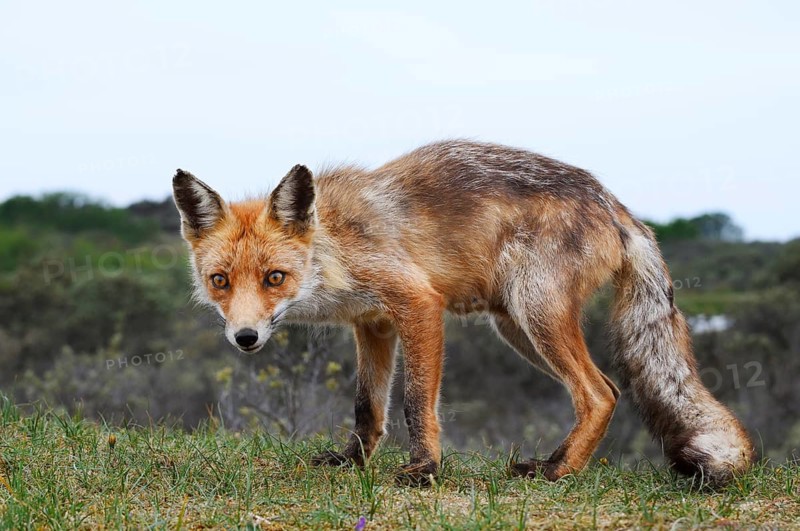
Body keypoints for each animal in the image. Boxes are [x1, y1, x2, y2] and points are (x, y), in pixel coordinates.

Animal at [172, 139, 755, 487]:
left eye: (275, 278)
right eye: (220, 281)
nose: (245, 338)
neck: (334, 247)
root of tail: (615, 204)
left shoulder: (417, 304)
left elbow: (414, 403)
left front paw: (424, 469)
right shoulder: (372, 324)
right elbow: (367, 408)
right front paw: (352, 462)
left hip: (535, 312)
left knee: (600, 393)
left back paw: (557, 472)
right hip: (515, 327)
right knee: (605, 390)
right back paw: (556, 462)